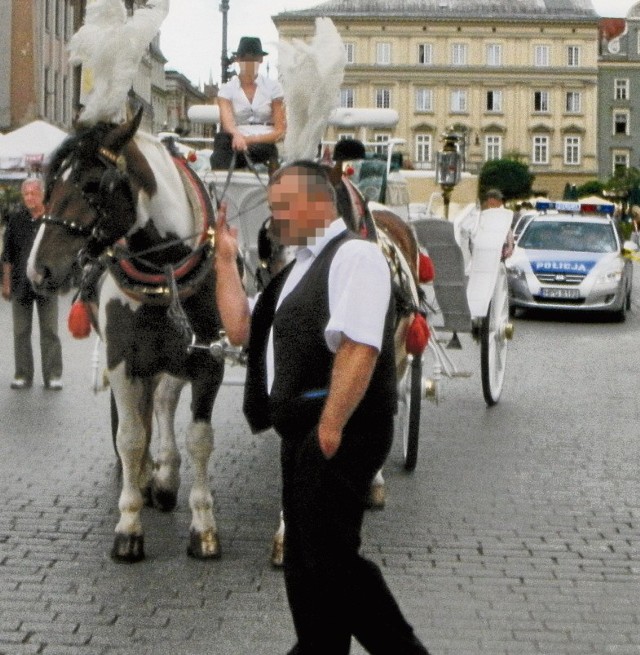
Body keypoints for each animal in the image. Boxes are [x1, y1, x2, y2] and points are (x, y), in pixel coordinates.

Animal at [28, 109, 228, 564]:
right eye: (50, 182)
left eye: (91, 185)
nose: (37, 269)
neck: (166, 271)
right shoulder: (122, 362)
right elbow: (131, 437)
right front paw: (129, 526)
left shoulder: (208, 360)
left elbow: (199, 440)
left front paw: (204, 527)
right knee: (143, 415)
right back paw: (145, 477)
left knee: (164, 402)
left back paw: (164, 478)